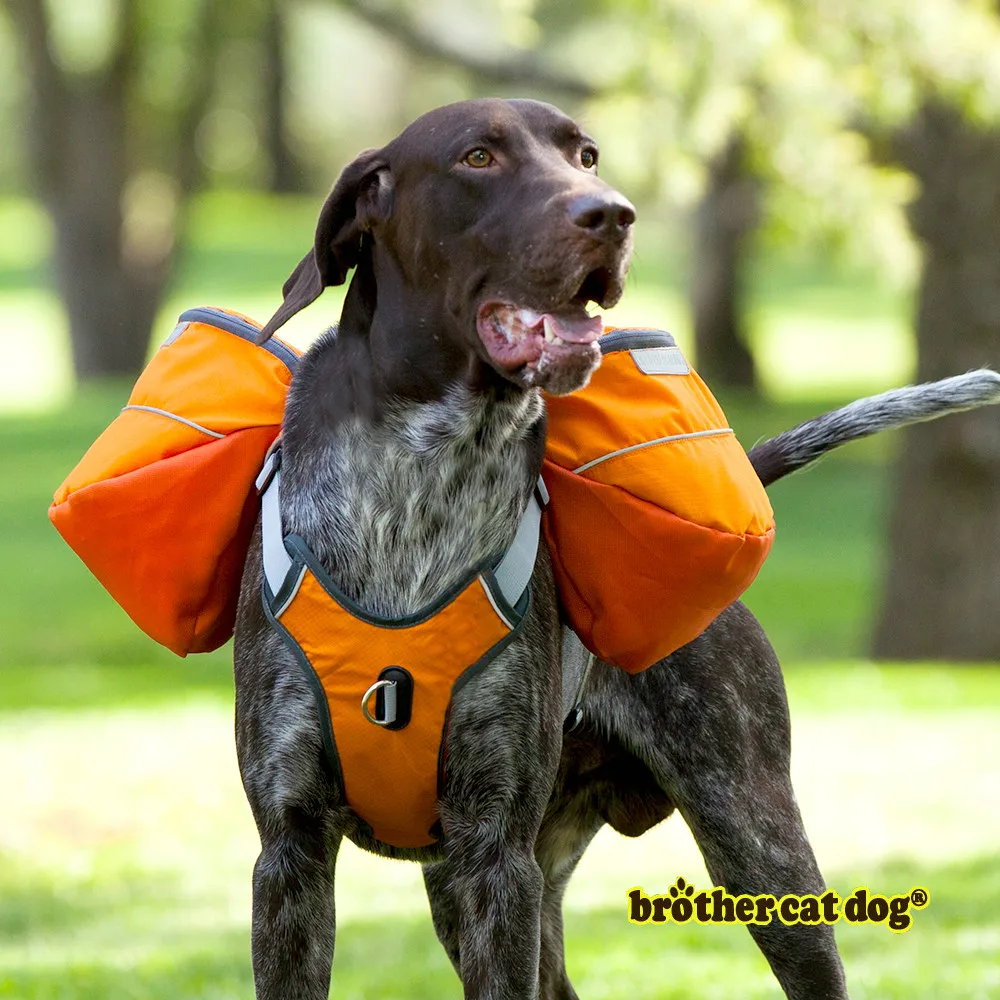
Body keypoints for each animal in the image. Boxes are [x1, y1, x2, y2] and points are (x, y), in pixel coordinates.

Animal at [236, 95, 1000, 1000]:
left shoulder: (494, 855)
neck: (418, 484)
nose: (611, 214)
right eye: (478, 156)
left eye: (587, 155)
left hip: (754, 841)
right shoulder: (294, 851)